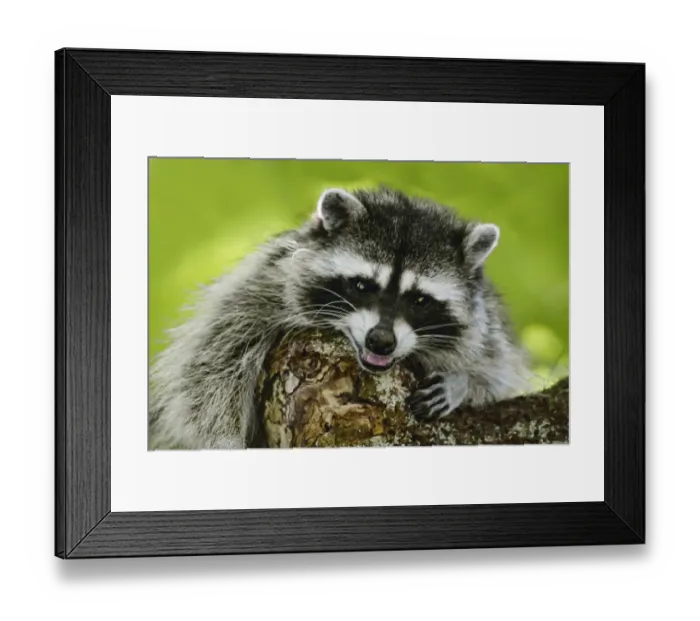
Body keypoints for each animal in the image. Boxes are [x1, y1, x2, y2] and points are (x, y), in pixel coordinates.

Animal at [148, 186, 532, 450]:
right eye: (362, 285)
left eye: (420, 300)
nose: (381, 340)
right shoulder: (263, 287)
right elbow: (209, 371)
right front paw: (224, 440)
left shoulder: (485, 325)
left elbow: (497, 368)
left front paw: (462, 382)